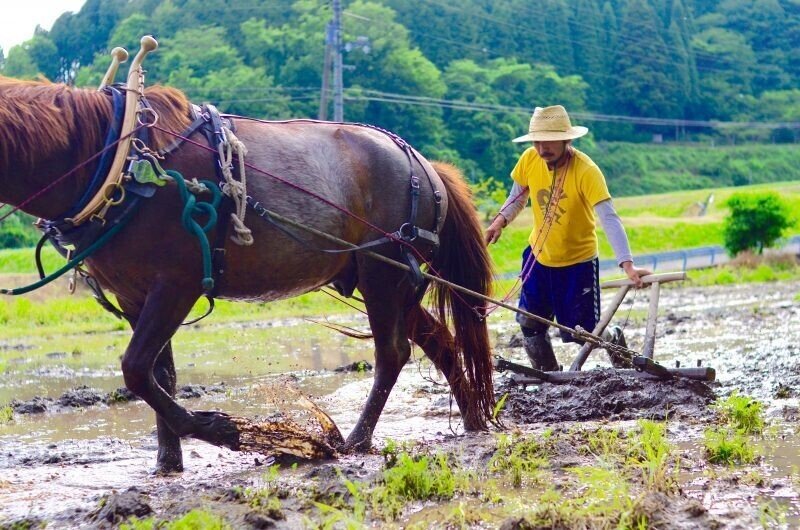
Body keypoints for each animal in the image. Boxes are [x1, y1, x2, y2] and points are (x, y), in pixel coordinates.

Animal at [0, 74, 495, 472]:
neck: (121, 162)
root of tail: (425, 165)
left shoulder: (176, 285)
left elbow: (136, 370)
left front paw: (225, 431)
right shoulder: (134, 296)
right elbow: (160, 376)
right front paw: (168, 462)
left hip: (382, 274)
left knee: (392, 353)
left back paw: (356, 440)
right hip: (388, 281)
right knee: (440, 342)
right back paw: (473, 420)